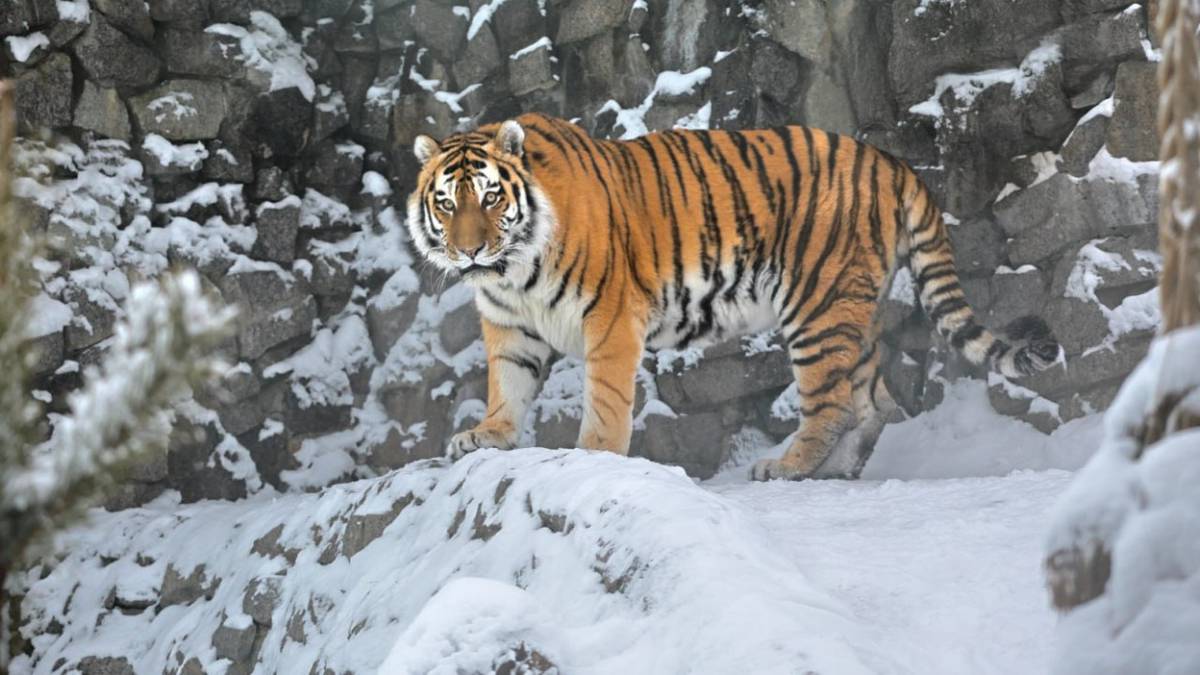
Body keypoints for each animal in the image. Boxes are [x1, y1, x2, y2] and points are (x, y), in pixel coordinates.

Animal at [405, 113, 1060, 480]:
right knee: (876, 403)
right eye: (448, 202)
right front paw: (488, 434)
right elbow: (507, 385)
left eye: (491, 197)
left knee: (835, 404)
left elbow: (607, 401)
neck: (512, 271)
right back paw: (840, 470)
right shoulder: (509, 326)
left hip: (817, 305)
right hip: (856, 310)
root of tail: (890, 161)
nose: (469, 252)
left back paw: (786, 468)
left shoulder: (610, 317)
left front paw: (593, 454)